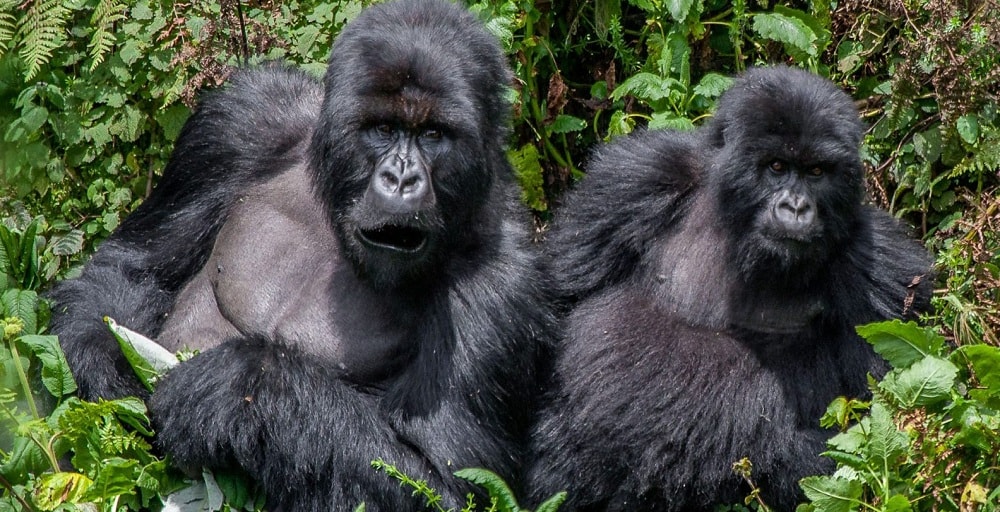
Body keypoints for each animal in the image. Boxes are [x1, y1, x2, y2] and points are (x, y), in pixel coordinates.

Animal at [528, 66, 932, 510]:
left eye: (816, 172)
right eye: (776, 166)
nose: (795, 207)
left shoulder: (879, 267)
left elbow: (875, 413)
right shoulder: (638, 176)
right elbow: (564, 292)